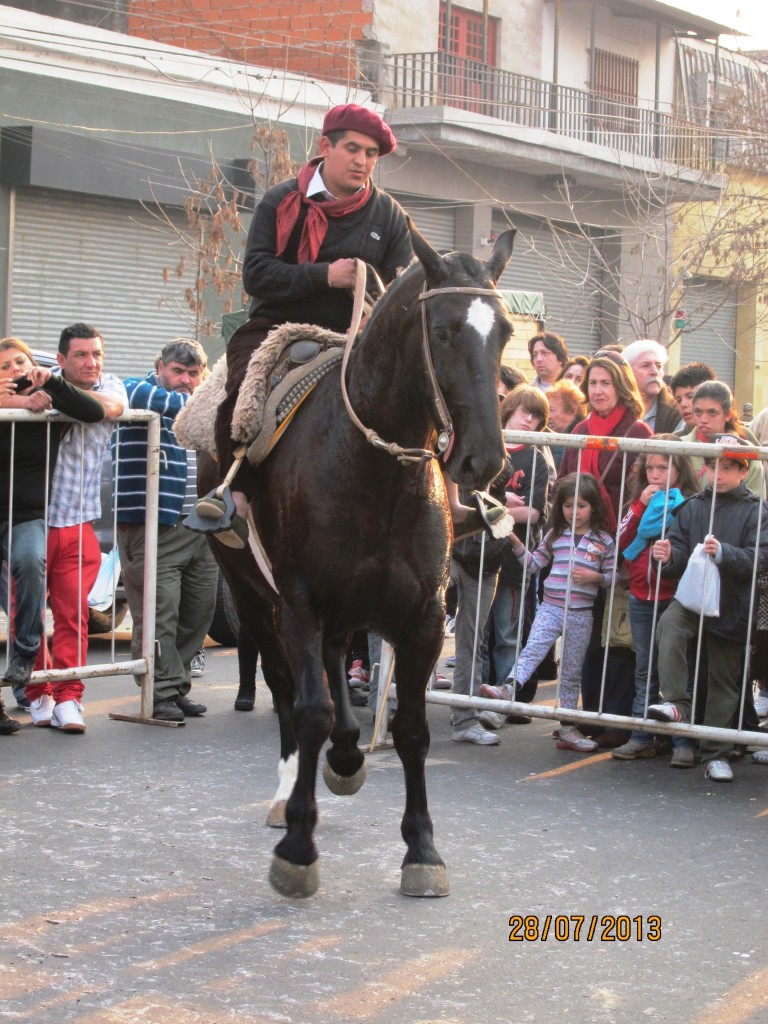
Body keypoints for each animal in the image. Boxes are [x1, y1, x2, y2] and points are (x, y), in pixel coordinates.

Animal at [202, 224, 518, 897]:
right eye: (444, 330)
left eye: (503, 331)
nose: (483, 459)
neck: (376, 471)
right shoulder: (297, 602)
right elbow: (309, 709)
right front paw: (298, 848)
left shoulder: (423, 617)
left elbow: (412, 730)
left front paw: (422, 849)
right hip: (252, 597)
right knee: (284, 687)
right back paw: (288, 790)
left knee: (332, 668)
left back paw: (347, 756)